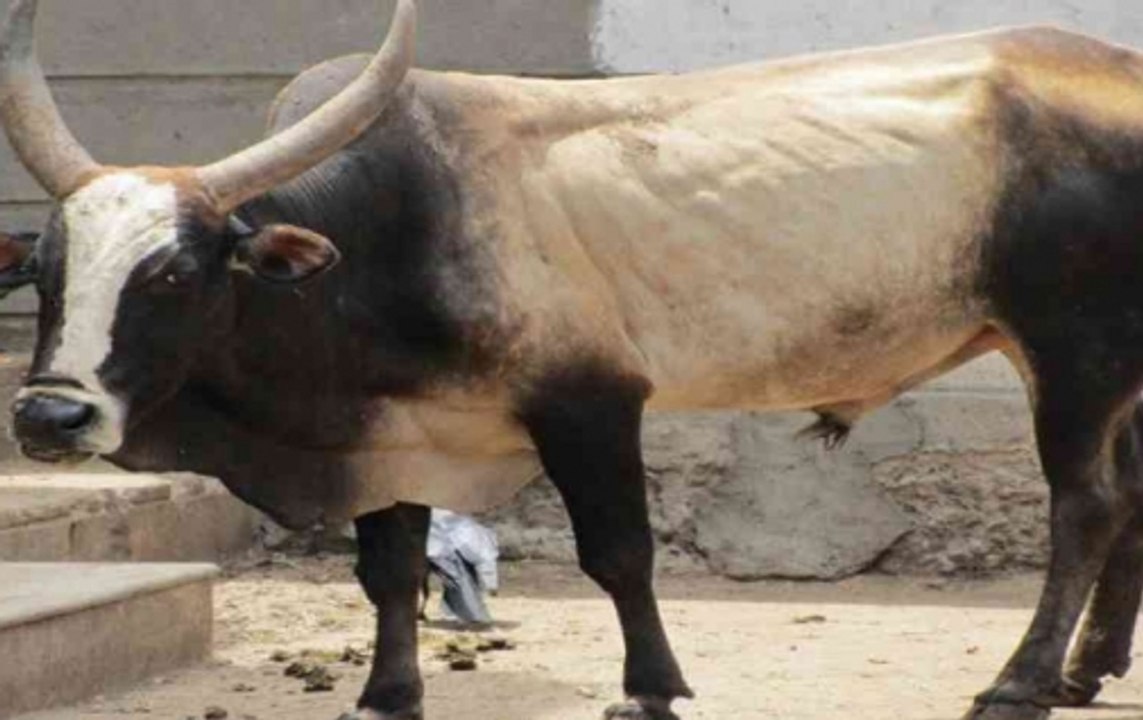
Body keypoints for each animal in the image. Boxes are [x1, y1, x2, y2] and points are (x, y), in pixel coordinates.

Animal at [3, 0, 1143, 717]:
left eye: (171, 274)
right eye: (45, 272)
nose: (49, 418)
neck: (386, 230)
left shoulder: (590, 403)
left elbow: (619, 555)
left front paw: (652, 686)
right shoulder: (398, 433)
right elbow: (388, 571)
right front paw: (387, 694)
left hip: (1071, 355)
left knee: (1083, 506)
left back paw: (1022, 683)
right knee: (1128, 499)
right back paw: (1085, 671)